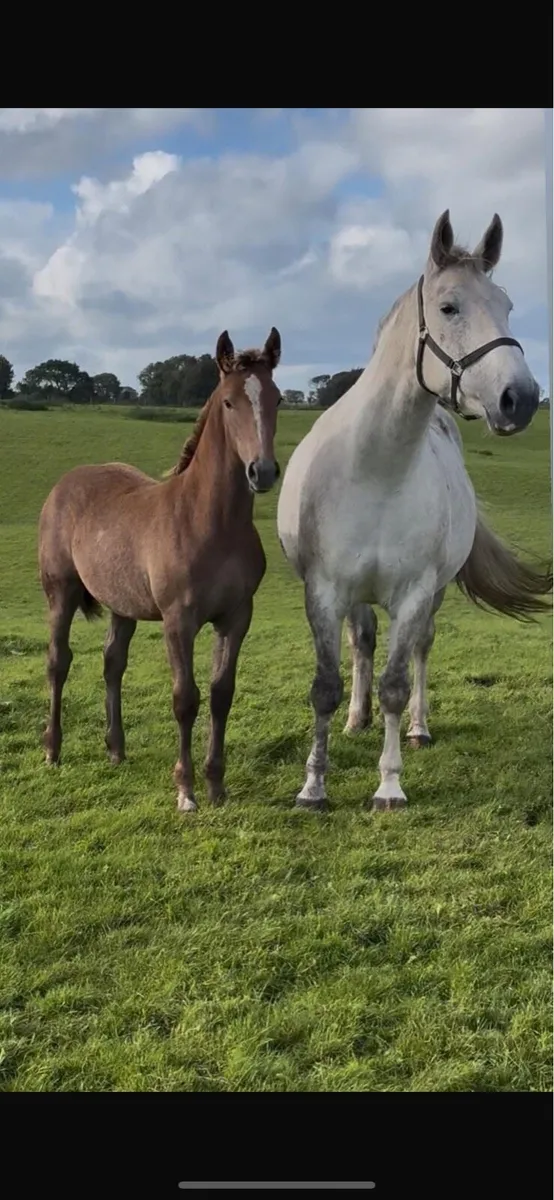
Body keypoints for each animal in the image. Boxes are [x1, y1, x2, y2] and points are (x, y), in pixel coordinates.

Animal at [38, 327, 282, 812]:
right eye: (229, 402)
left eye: (278, 398)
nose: (262, 472)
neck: (210, 520)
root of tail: (63, 484)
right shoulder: (178, 620)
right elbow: (185, 698)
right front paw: (185, 790)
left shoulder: (236, 617)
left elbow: (221, 694)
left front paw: (216, 785)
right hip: (61, 592)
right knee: (59, 662)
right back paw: (53, 750)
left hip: (122, 604)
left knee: (112, 663)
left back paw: (116, 749)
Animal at [277, 210, 551, 813]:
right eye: (449, 307)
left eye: (506, 305)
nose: (519, 399)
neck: (375, 470)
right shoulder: (323, 592)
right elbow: (325, 687)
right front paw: (313, 785)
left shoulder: (414, 594)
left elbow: (397, 686)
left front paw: (389, 784)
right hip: (355, 597)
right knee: (360, 644)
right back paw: (355, 720)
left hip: (433, 594)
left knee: (421, 650)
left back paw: (420, 729)